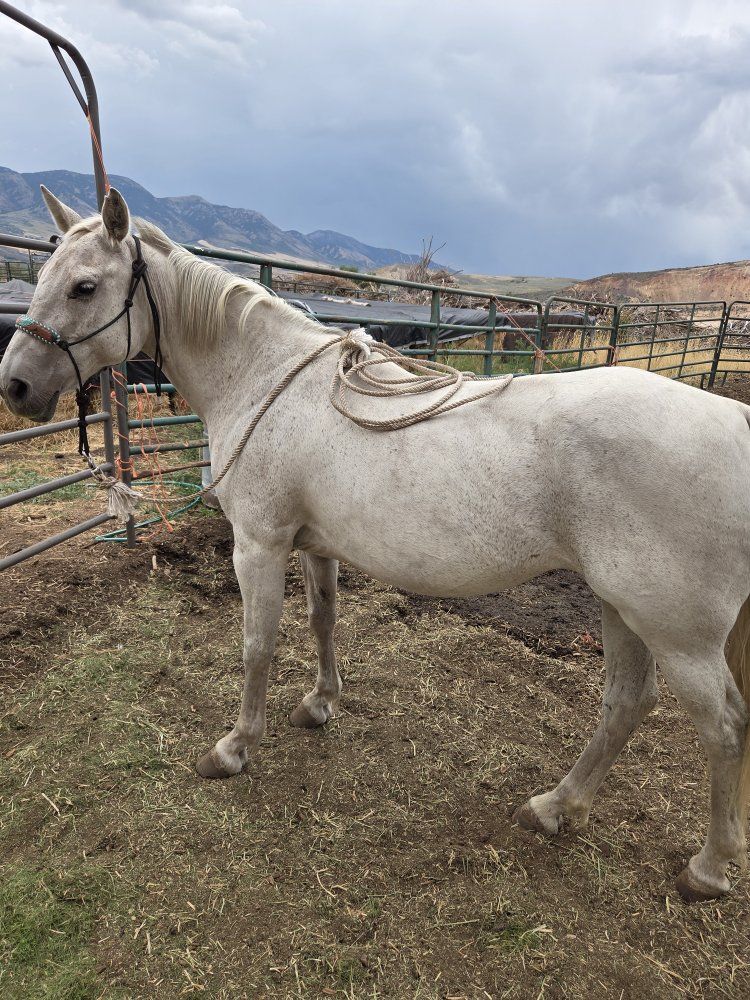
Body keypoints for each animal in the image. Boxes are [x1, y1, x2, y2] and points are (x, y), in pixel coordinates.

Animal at [2, 186, 749, 903]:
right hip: (621, 608)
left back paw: (707, 869)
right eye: (46, 274)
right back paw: (554, 807)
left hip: (674, 631)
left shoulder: (259, 544)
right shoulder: (313, 542)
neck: (265, 380)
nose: (16, 385)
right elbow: (323, 619)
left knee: (723, 728)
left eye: (85, 287)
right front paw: (320, 704)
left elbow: (256, 646)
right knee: (627, 705)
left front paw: (235, 747)